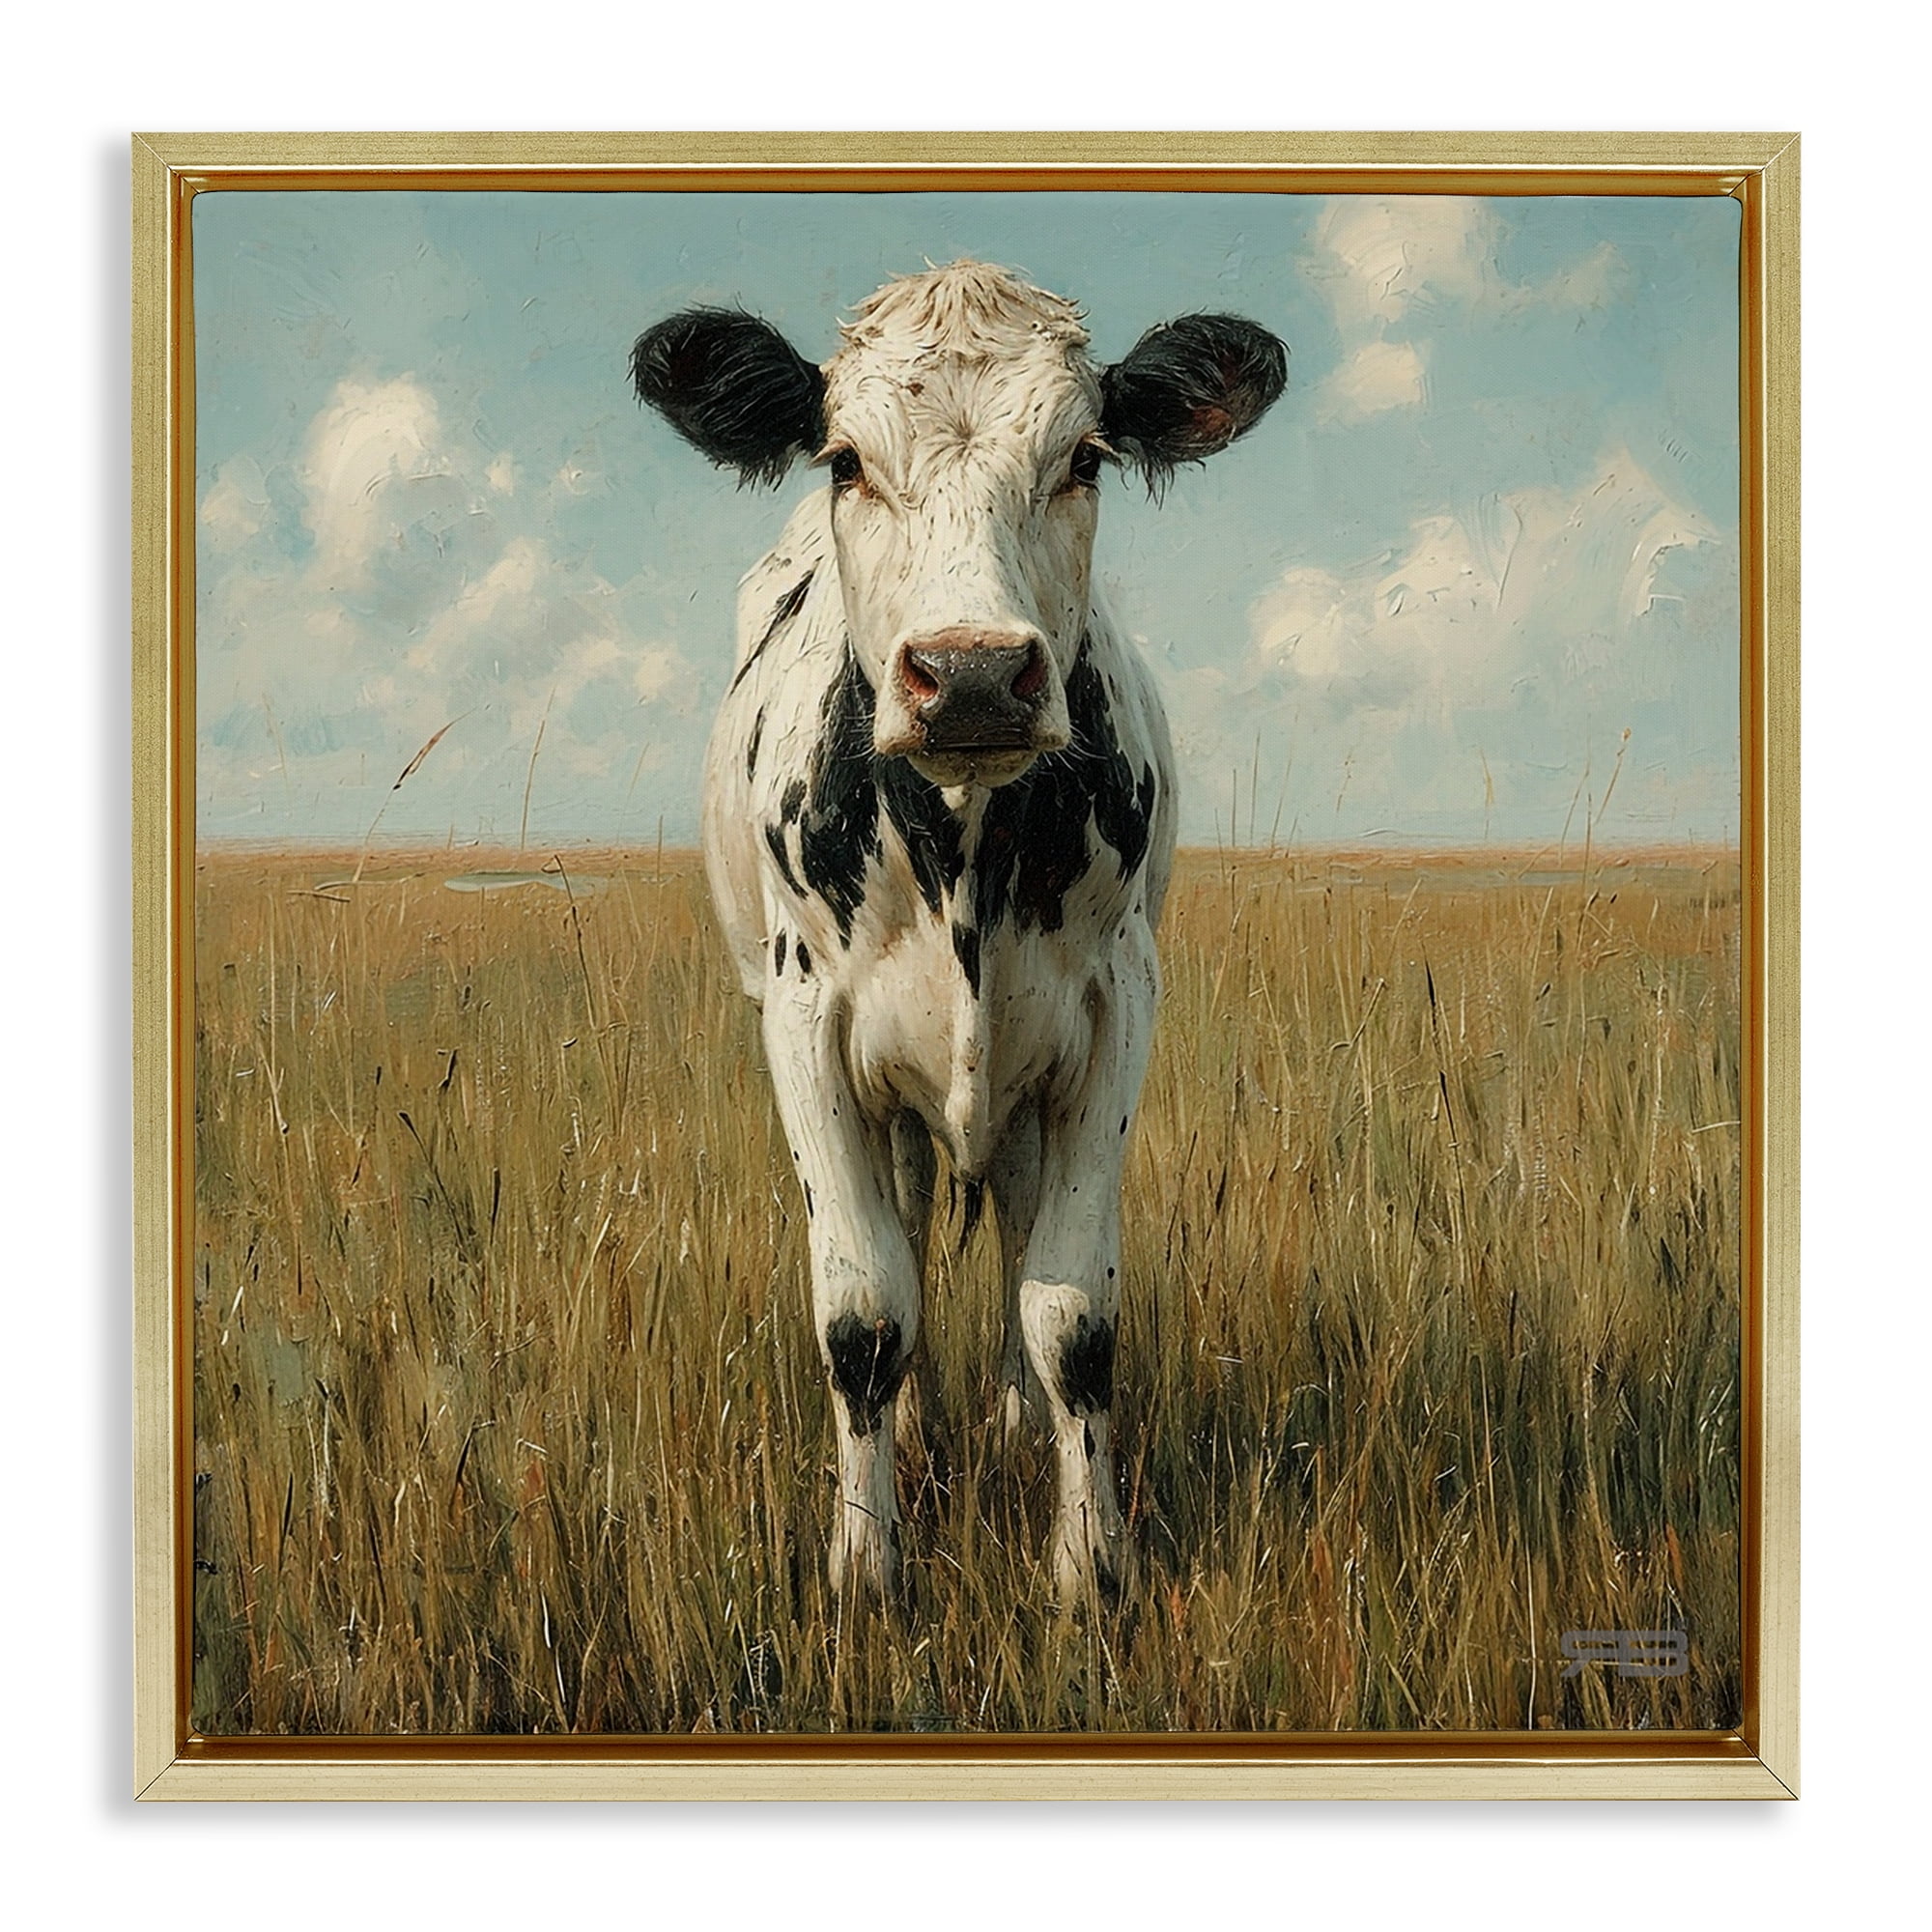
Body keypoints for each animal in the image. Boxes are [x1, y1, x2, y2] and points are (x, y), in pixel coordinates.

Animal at [631, 261, 1286, 1607]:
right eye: (843, 459)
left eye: (1083, 456)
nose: (972, 673)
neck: (963, 854)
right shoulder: (801, 1019)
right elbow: (864, 1308)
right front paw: (864, 1566)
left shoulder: (1114, 1007)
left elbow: (1069, 1308)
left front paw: (1088, 1566)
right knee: (915, 1224)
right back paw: (925, 1427)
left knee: (1012, 1226)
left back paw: (1007, 1420)